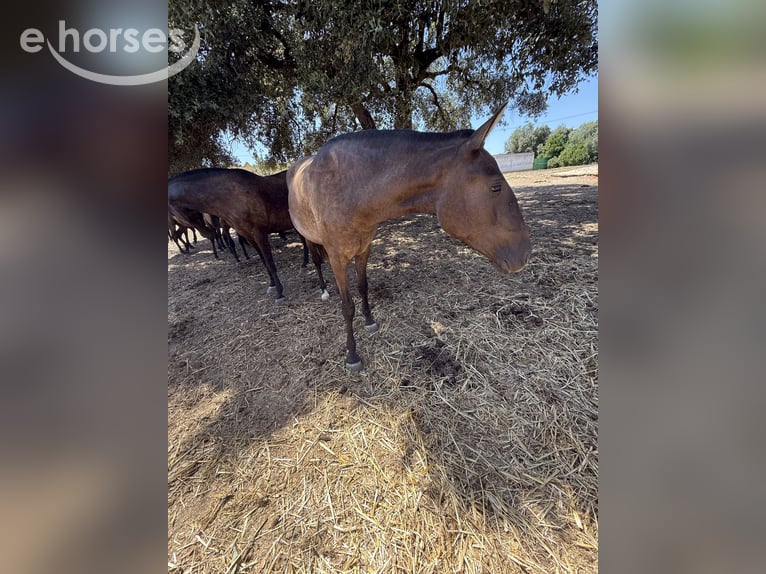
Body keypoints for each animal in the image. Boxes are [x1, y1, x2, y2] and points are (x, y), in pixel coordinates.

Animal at [168, 168, 305, 301]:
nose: (208, 233)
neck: (230, 196)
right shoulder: (248, 236)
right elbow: (264, 261)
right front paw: (271, 285)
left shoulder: (259, 233)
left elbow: (269, 262)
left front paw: (279, 292)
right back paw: (304, 264)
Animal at [287, 103, 532, 371]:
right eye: (496, 187)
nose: (525, 253)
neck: (348, 187)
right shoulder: (337, 258)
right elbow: (347, 306)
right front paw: (352, 355)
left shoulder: (364, 249)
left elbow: (363, 287)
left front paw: (369, 320)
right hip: (308, 238)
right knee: (316, 262)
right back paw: (322, 290)